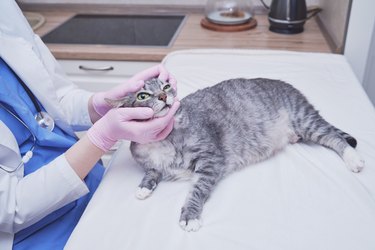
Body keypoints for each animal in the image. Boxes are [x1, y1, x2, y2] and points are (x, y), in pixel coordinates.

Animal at [106, 77, 364, 232]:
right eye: (142, 95)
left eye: (166, 87)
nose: (163, 96)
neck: (162, 139)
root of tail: (289, 86)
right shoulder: (151, 162)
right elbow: (152, 171)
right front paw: (144, 186)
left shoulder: (211, 159)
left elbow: (197, 190)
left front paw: (190, 215)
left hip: (305, 120)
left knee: (336, 138)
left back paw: (354, 159)